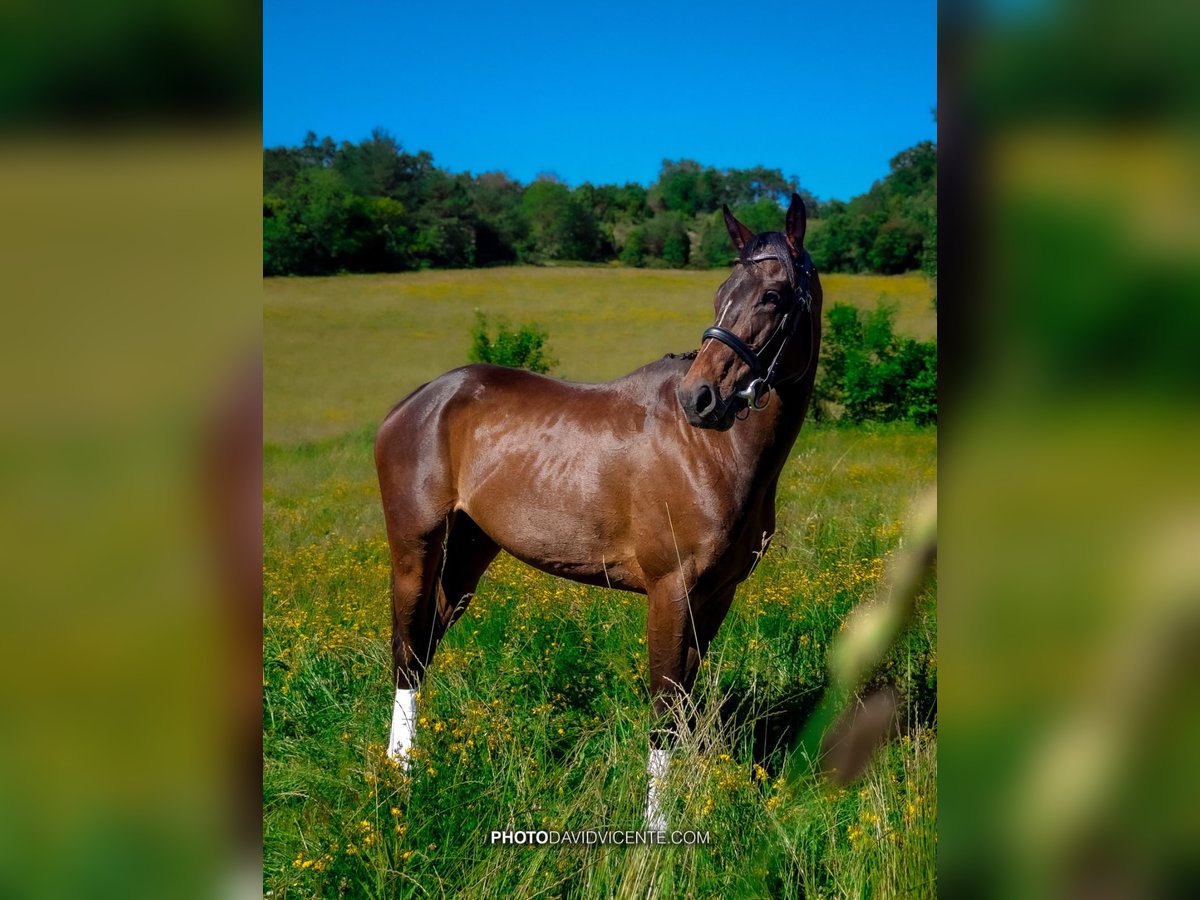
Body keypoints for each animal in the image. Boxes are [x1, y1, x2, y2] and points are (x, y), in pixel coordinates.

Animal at [374, 194, 825, 830]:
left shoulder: (716, 597)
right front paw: (656, 829)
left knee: (425, 645)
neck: (713, 451)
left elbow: (685, 705)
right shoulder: (670, 592)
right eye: (721, 293)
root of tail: (418, 401)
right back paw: (402, 777)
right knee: (408, 650)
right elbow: (663, 710)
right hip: (416, 547)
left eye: (774, 296)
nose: (700, 399)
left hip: (466, 553)